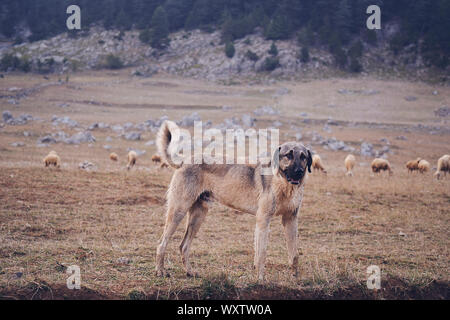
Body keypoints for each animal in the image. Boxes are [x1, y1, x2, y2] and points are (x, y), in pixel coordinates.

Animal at [156, 121, 312, 282]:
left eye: (303, 157)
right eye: (288, 155)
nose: (299, 172)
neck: (283, 184)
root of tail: (185, 160)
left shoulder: (290, 219)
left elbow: (294, 254)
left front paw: (295, 278)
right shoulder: (263, 219)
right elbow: (262, 253)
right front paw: (261, 280)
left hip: (198, 215)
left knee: (184, 246)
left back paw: (190, 272)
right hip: (178, 210)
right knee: (162, 243)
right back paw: (160, 271)